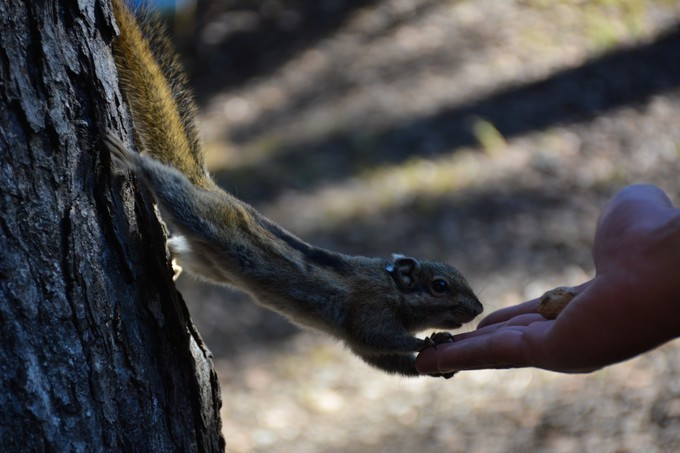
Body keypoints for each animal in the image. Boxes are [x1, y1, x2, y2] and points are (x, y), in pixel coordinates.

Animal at [103, 0, 480, 376]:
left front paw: (440, 364)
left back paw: (174, 261)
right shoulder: (371, 311)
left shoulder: (360, 343)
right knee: (171, 190)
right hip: (204, 216)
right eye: (440, 286)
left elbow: (385, 359)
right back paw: (131, 159)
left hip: (208, 261)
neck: (391, 287)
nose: (477, 309)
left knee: (179, 246)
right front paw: (427, 341)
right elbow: (382, 339)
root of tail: (208, 186)